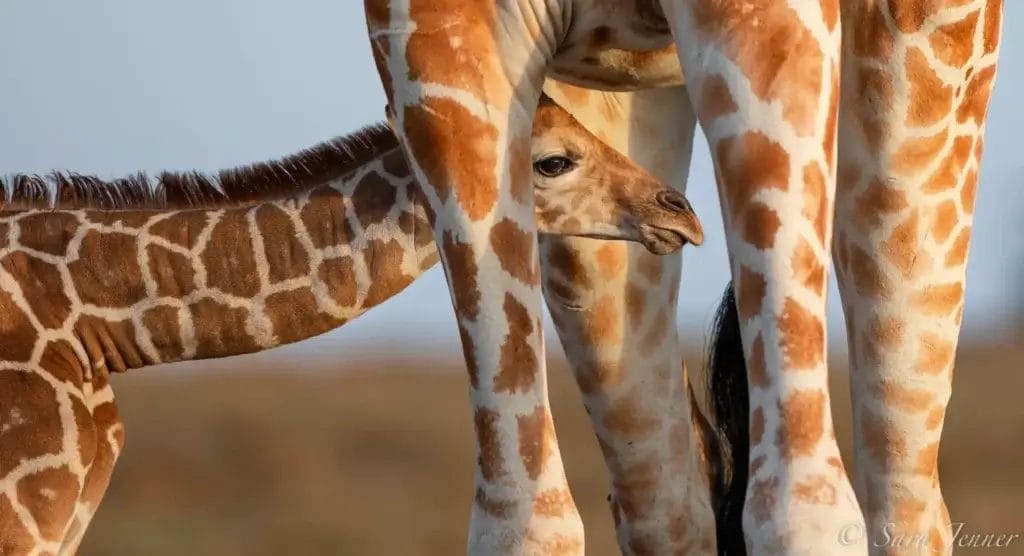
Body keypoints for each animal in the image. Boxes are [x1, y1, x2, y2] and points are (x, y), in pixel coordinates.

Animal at [363, 0, 1003, 554]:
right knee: (666, 503)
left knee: (900, 496)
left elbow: (801, 506)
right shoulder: (435, 36)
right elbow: (528, 522)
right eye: (553, 162)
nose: (680, 215)